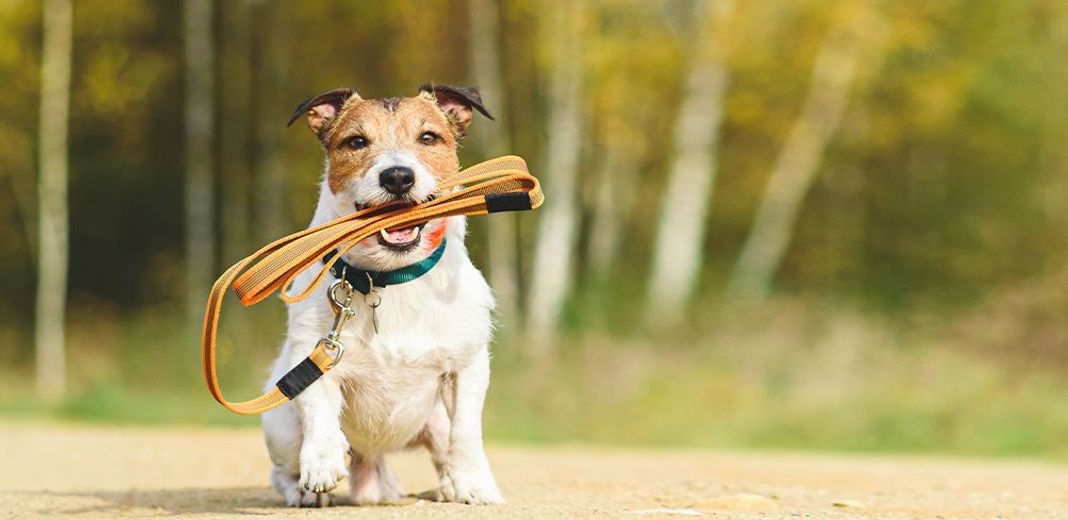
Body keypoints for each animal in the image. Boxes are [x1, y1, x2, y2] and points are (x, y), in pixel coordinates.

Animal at [261, 85, 504, 508]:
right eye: (356, 141)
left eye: (428, 137)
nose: (397, 176)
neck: (391, 276)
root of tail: (371, 462)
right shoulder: (313, 354)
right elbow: (319, 409)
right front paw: (321, 463)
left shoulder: (468, 366)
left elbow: (466, 432)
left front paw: (474, 483)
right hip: (283, 427)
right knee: (283, 470)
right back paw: (303, 491)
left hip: (434, 422)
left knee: (444, 450)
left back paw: (450, 486)